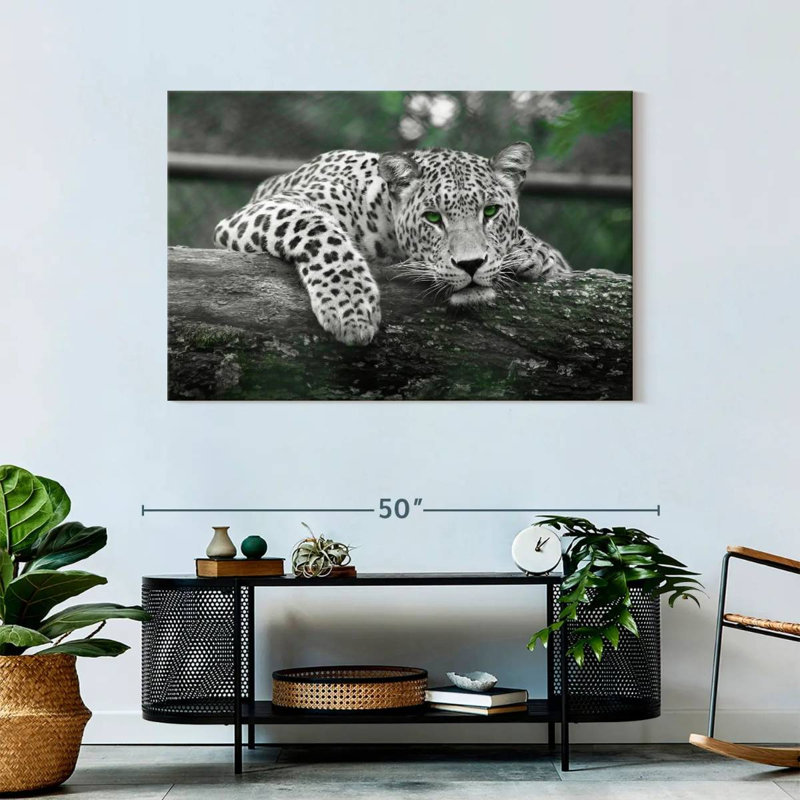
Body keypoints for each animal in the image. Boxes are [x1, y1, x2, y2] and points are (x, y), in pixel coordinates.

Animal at [214, 142, 570, 345]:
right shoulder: (262, 210)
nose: (470, 265)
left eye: (491, 211)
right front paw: (351, 307)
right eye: (433, 218)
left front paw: (536, 253)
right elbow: (318, 228)